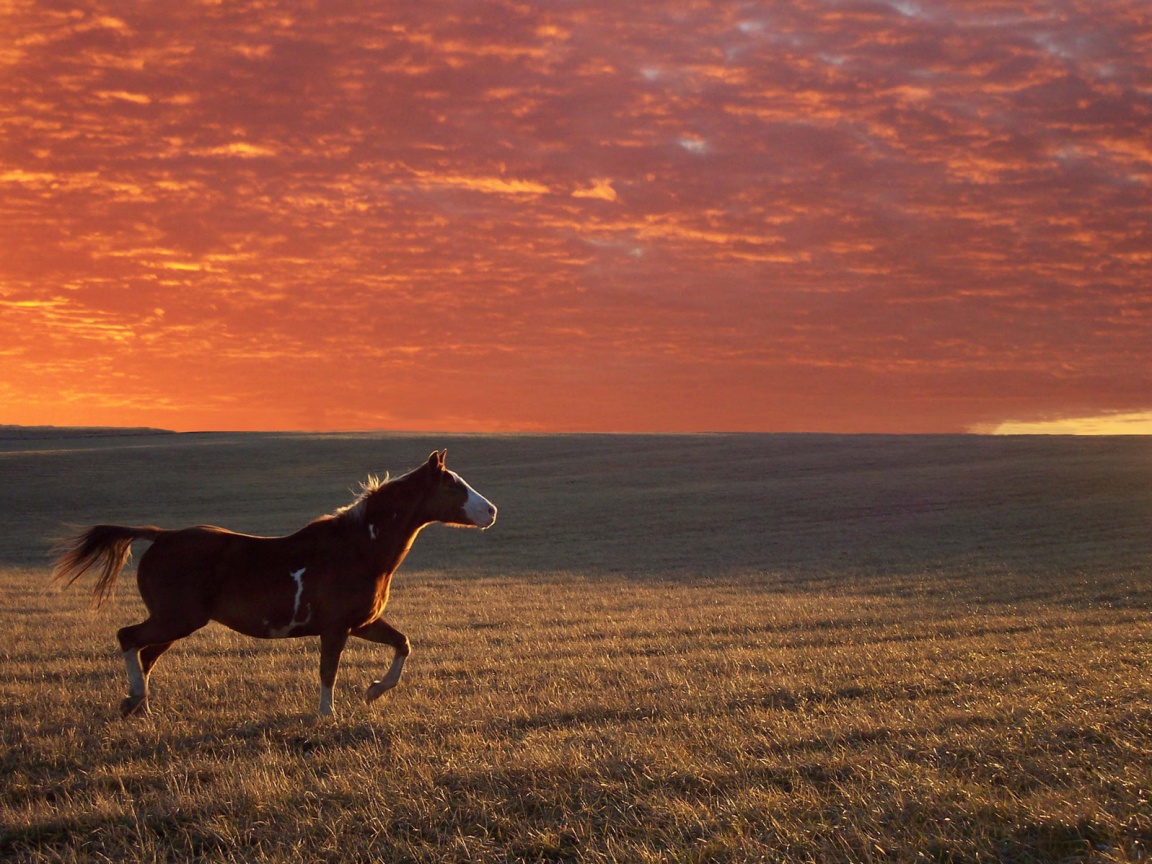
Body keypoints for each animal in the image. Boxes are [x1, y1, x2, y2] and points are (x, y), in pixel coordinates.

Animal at [50, 449, 495, 718]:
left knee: (145, 654)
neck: (359, 548)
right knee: (128, 638)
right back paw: (135, 698)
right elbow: (328, 671)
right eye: (454, 485)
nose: (491, 511)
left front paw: (374, 691)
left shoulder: (362, 623)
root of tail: (160, 536)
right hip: (176, 618)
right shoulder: (336, 628)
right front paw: (328, 715)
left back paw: (139, 705)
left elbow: (403, 644)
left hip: (178, 622)